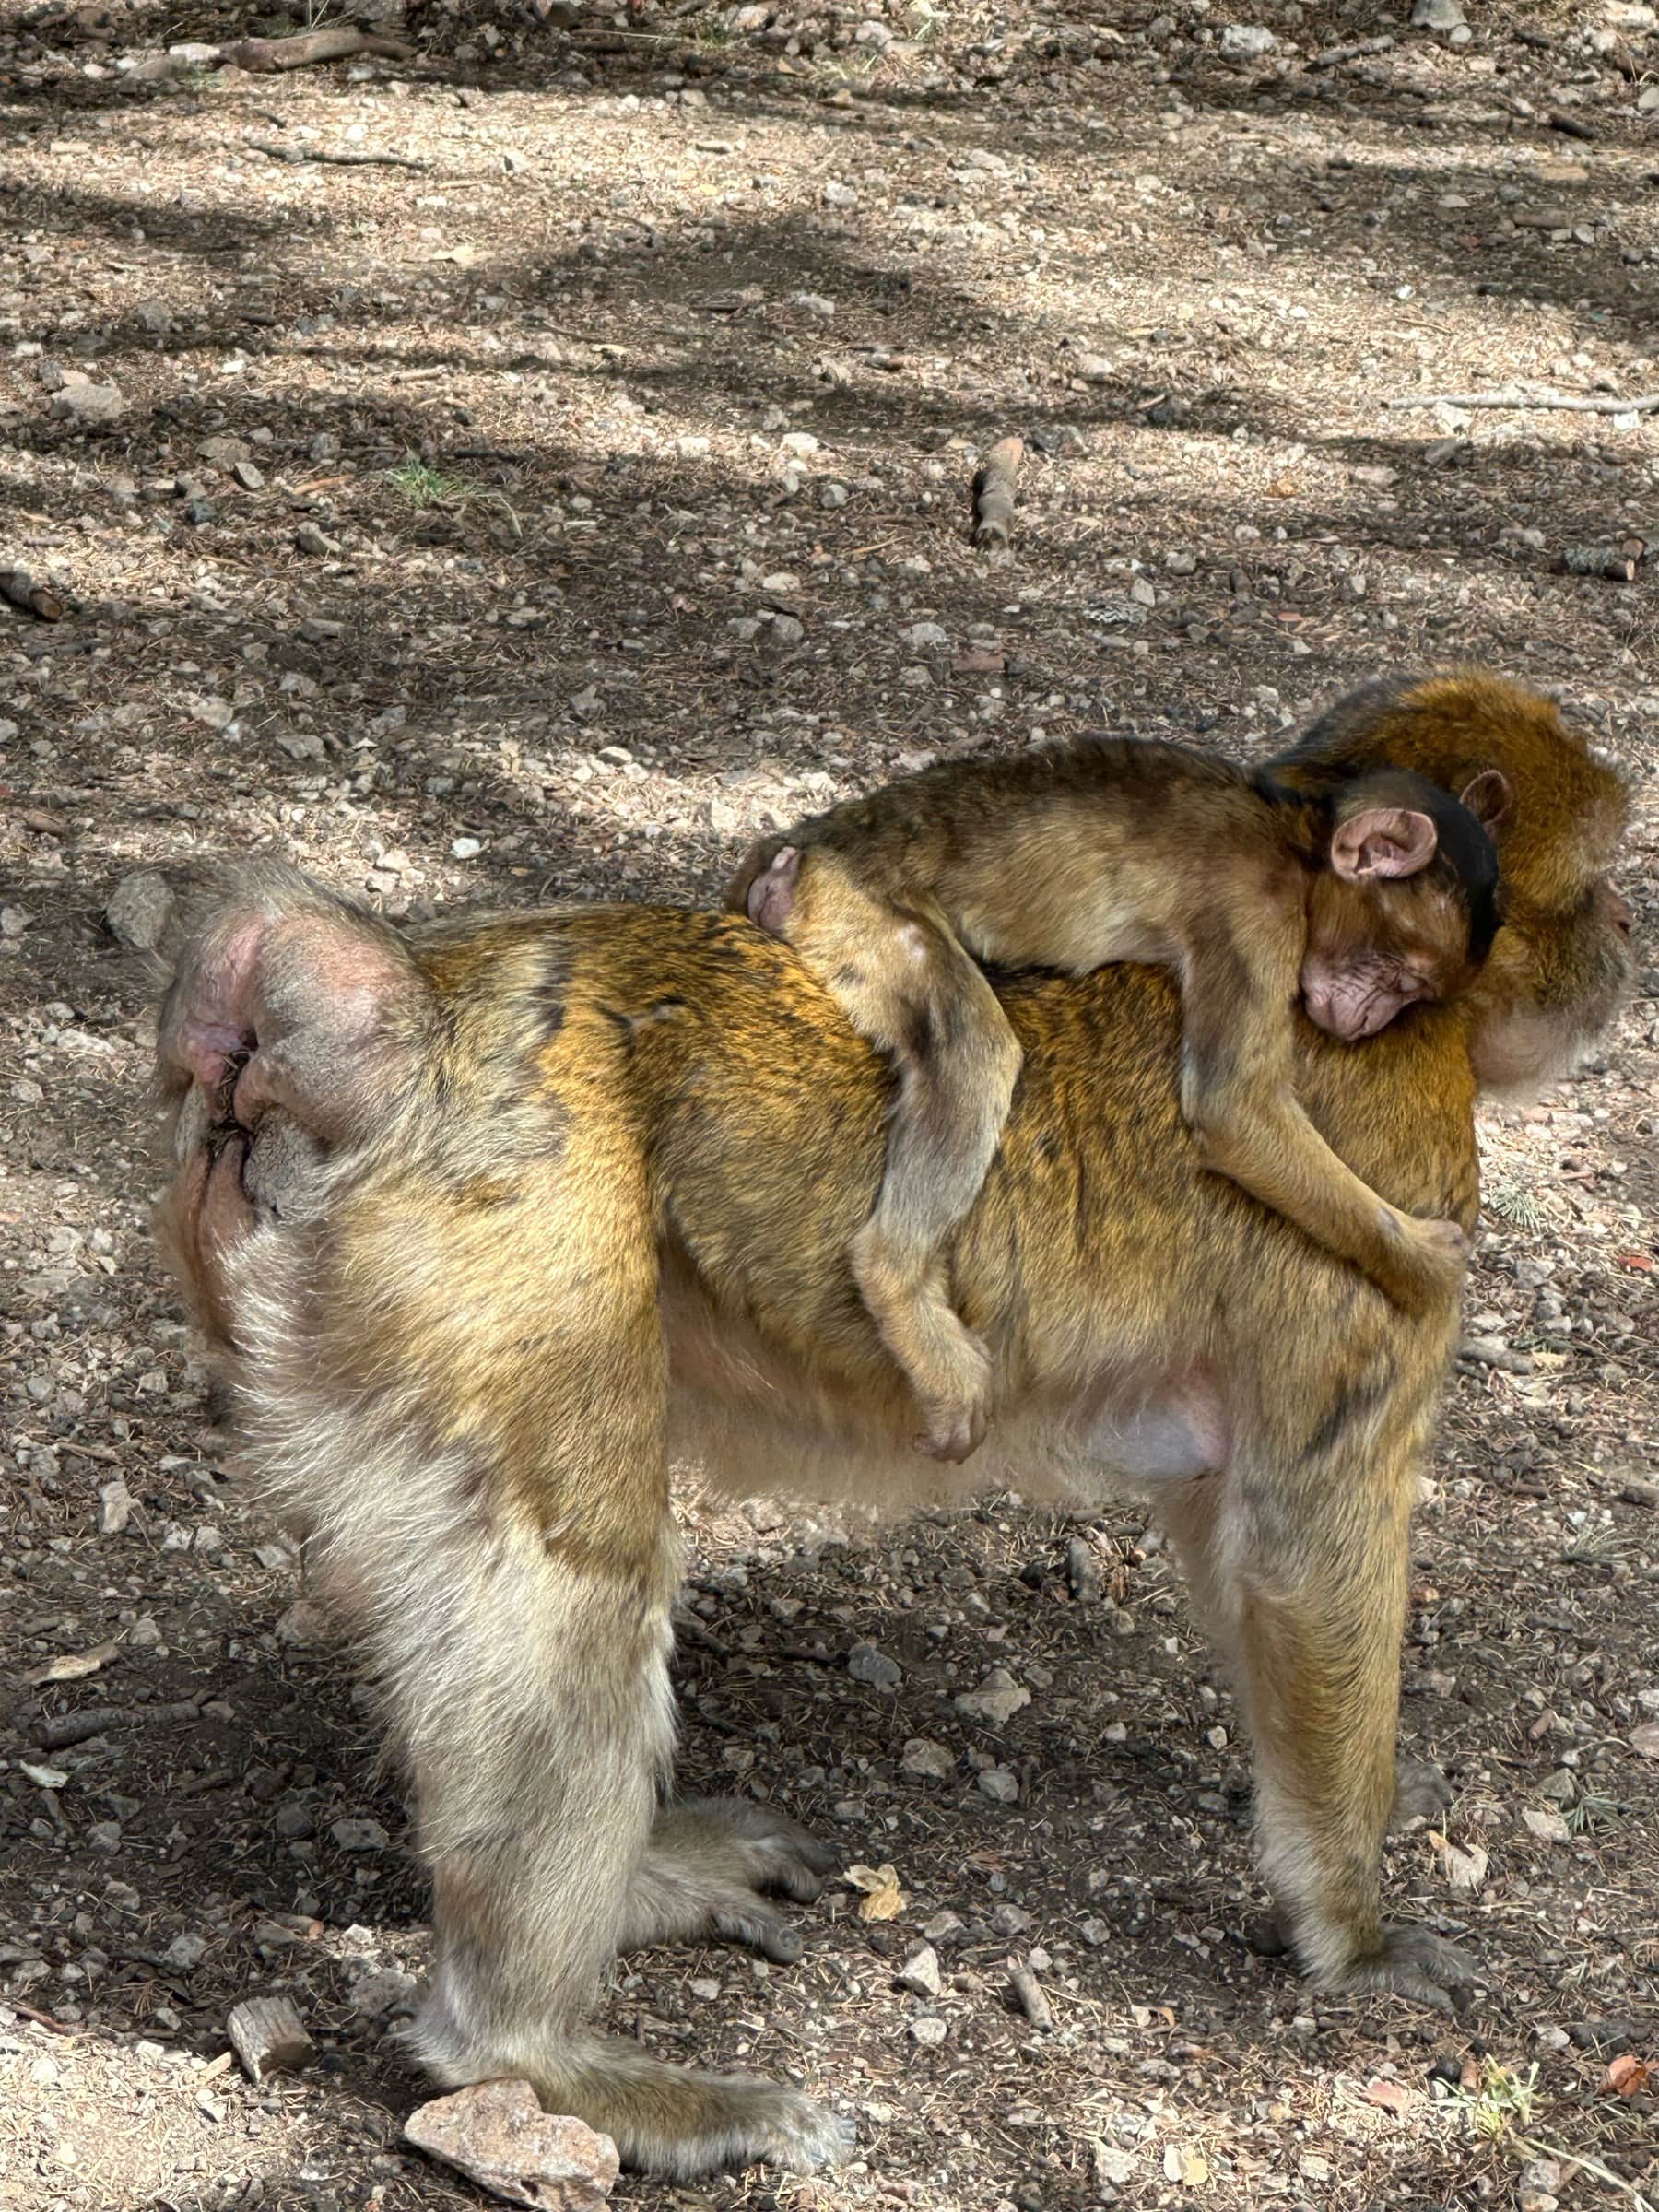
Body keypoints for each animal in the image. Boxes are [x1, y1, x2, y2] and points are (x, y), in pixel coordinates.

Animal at [727, 746, 1510, 1462]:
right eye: (1400, 976)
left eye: (1413, 993)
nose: (1373, 1019)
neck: (1299, 842)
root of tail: (802, 848)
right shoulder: (1255, 917)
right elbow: (1234, 1110)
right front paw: (1427, 1267)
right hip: (860, 906)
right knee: (975, 1047)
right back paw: (897, 1281)